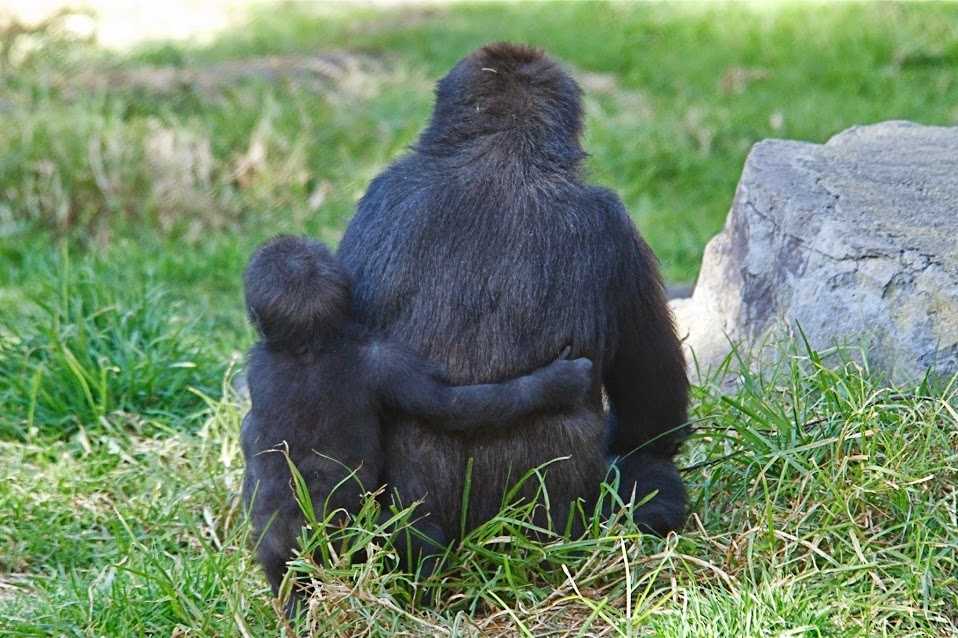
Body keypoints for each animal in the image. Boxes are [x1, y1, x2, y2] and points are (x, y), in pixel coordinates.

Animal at [240, 235, 594, 594]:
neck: (308, 347)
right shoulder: (385, 361)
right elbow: (453, 406)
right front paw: (558, 382)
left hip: (304, 542)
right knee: (419, 536)